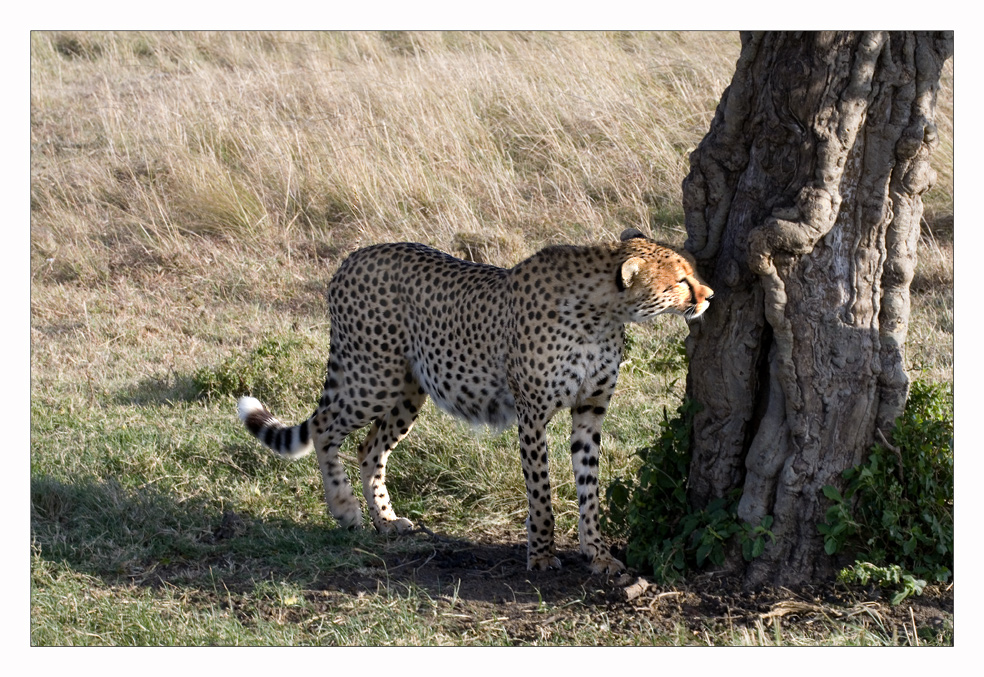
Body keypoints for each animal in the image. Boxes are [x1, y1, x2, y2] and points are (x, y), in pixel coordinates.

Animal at [238, 228, 716, 576]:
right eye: (680, 281)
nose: (708, 295)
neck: (601, 314)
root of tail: (352, 258)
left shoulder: (590, 411)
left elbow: (589, 487)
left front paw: (597, 552)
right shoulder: (532, 414)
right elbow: (540, 490)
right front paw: (542, 554)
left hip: (409, 389)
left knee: (369, 447)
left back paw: (386, 520)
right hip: (373, 377)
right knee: (324, 427)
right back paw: (345, 510)